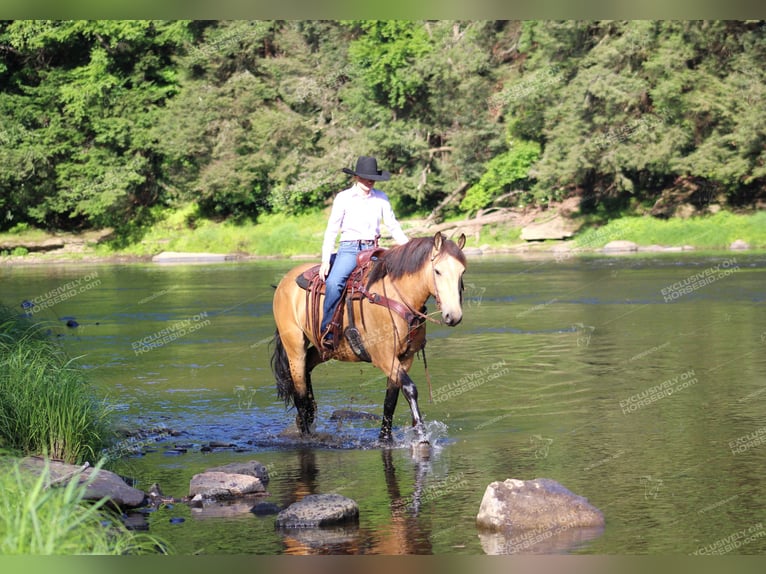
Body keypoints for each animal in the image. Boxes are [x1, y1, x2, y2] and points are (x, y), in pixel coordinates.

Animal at [272, 233, 472, 446]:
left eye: (462, 271)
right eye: (437, 271)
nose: (454, 316)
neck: (396, 298)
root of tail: (284, 282)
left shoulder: (404, 359)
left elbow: (391, 400)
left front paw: (385, 438)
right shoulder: (384, 357)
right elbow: (410, 389)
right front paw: (421, 434)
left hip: (324, 349)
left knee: (308, 367)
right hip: (294, 346)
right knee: (299, 391)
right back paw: (307, 434)